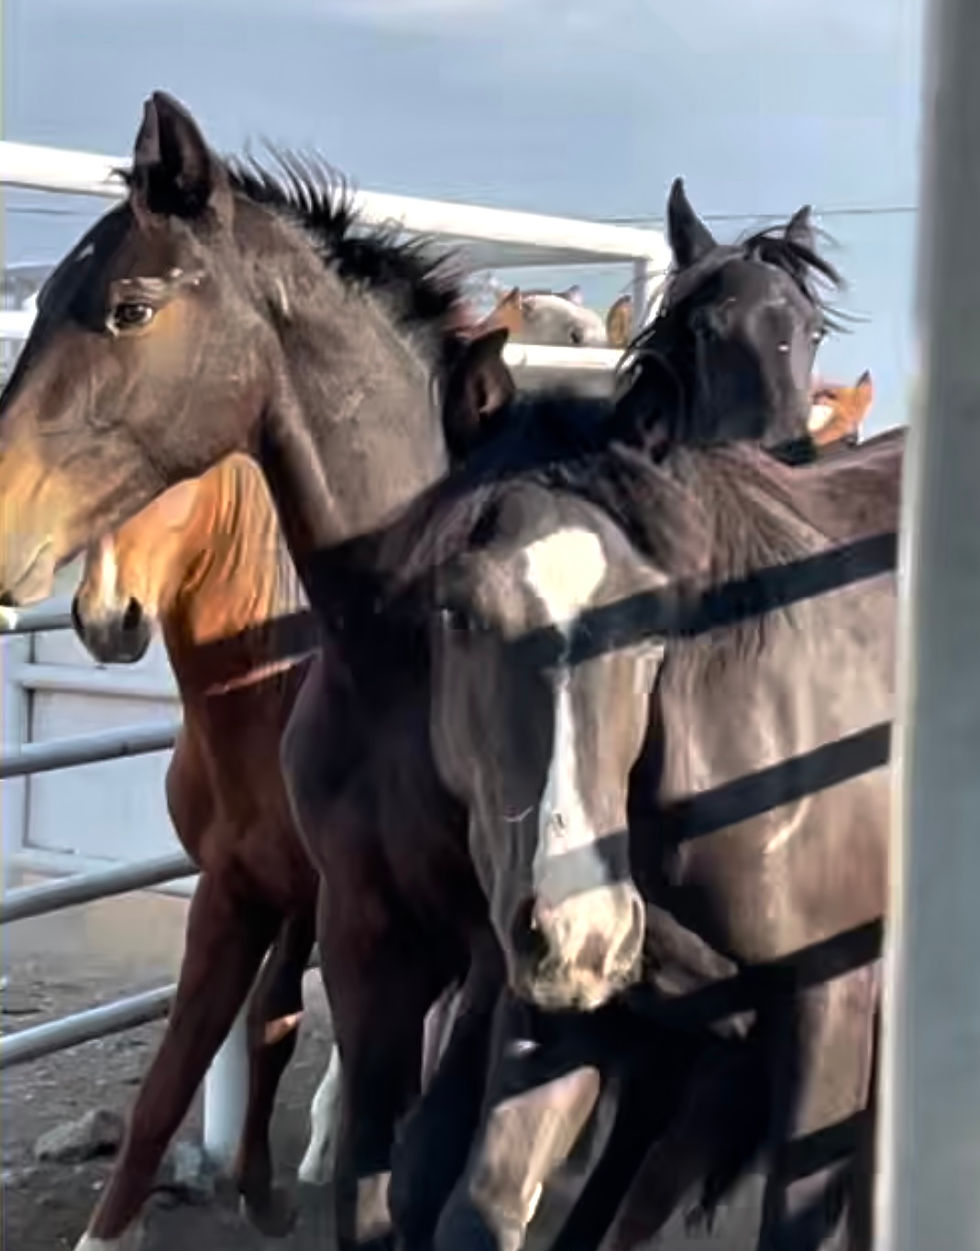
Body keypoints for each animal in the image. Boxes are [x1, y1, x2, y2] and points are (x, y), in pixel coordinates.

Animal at [0, 88, 836, 1249]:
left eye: (129, 307)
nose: (6, 531)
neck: (390, 662)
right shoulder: (344, 925)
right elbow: (290, 1116)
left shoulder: (494, 954)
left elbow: (429, 1164)